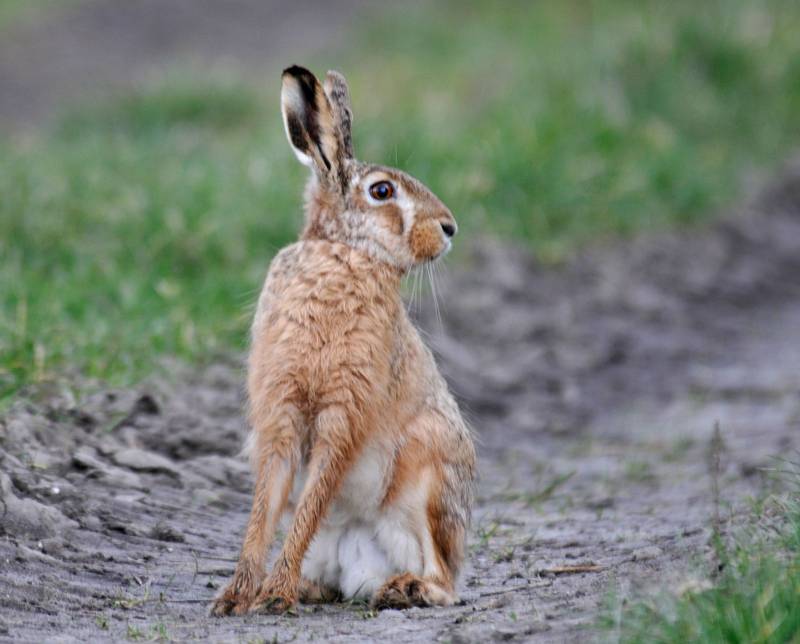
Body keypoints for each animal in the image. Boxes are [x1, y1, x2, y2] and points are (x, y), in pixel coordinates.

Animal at [210, 65, 475, 616]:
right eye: (382, 191)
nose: (449, 228)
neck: (344, 254)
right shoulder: (281, 404)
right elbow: (266, 506)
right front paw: (238, 596)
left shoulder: (344, 409)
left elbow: (313, 495)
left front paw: (274, 595)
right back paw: (312, 587)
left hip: (425, 478)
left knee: (446, 580)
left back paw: (405, 588)